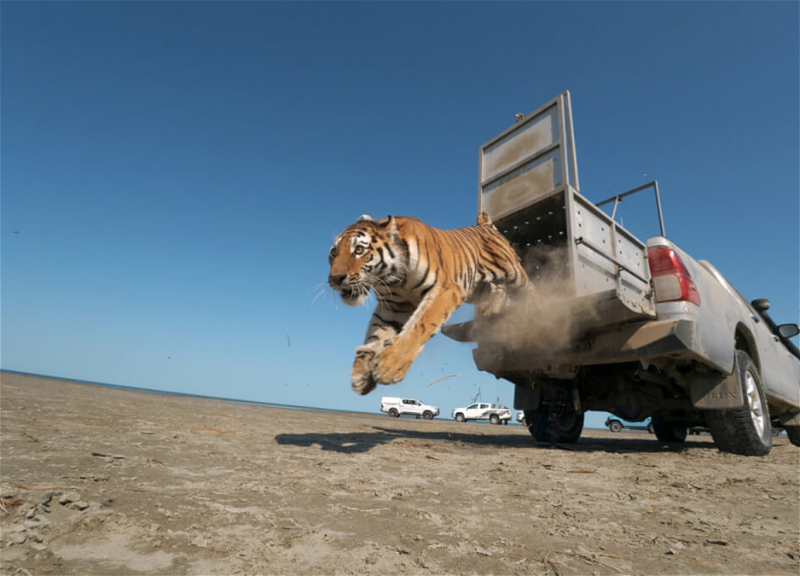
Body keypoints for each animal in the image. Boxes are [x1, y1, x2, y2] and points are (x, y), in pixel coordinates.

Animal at [328, 213, 538, 395]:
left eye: (359, 250)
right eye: (334, 252)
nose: (336, 278)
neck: (393, 279)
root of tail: (484, 224)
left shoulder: (444, 291)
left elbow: (418, 325)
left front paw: (389, 367)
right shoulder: (393, 307)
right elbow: (376, 333)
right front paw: (361, 374)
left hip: (512, 271)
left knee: (529, 288)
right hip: (477, 288)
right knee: (500, 293)